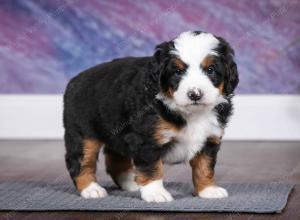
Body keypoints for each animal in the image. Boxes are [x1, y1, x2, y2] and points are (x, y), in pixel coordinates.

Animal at [63, 30, 239, 203]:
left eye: (211, 70)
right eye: (178, 71)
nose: (195, 94)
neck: (191, 113)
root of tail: (75, 80)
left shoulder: (210, 138)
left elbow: (205, 166)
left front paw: (208, 190)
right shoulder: (147, 139)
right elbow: (152, 168)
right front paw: (156, 193)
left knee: (115, 160)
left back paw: (131, 182)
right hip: (83, 134)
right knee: (80, 161)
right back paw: (91, 189)